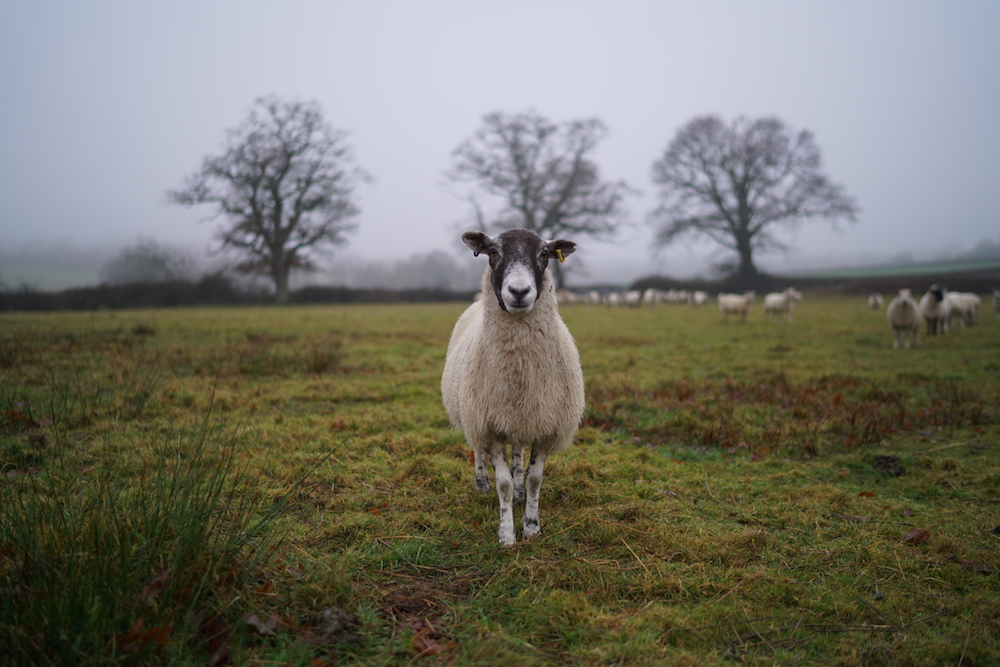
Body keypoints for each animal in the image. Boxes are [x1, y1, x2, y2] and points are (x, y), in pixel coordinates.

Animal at [440, 230, 584, 548]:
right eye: (493, 252)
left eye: (544, 254)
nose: (519, 291)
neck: (520, 371)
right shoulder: (489, 423)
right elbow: (502, 482)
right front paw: (506, 535)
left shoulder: (546, 424)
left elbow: (534, 479)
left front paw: (531, 527)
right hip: (472, 410)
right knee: (477, 450)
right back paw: (482, 483)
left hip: (519, 417)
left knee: (517, 451)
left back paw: (519, 492)